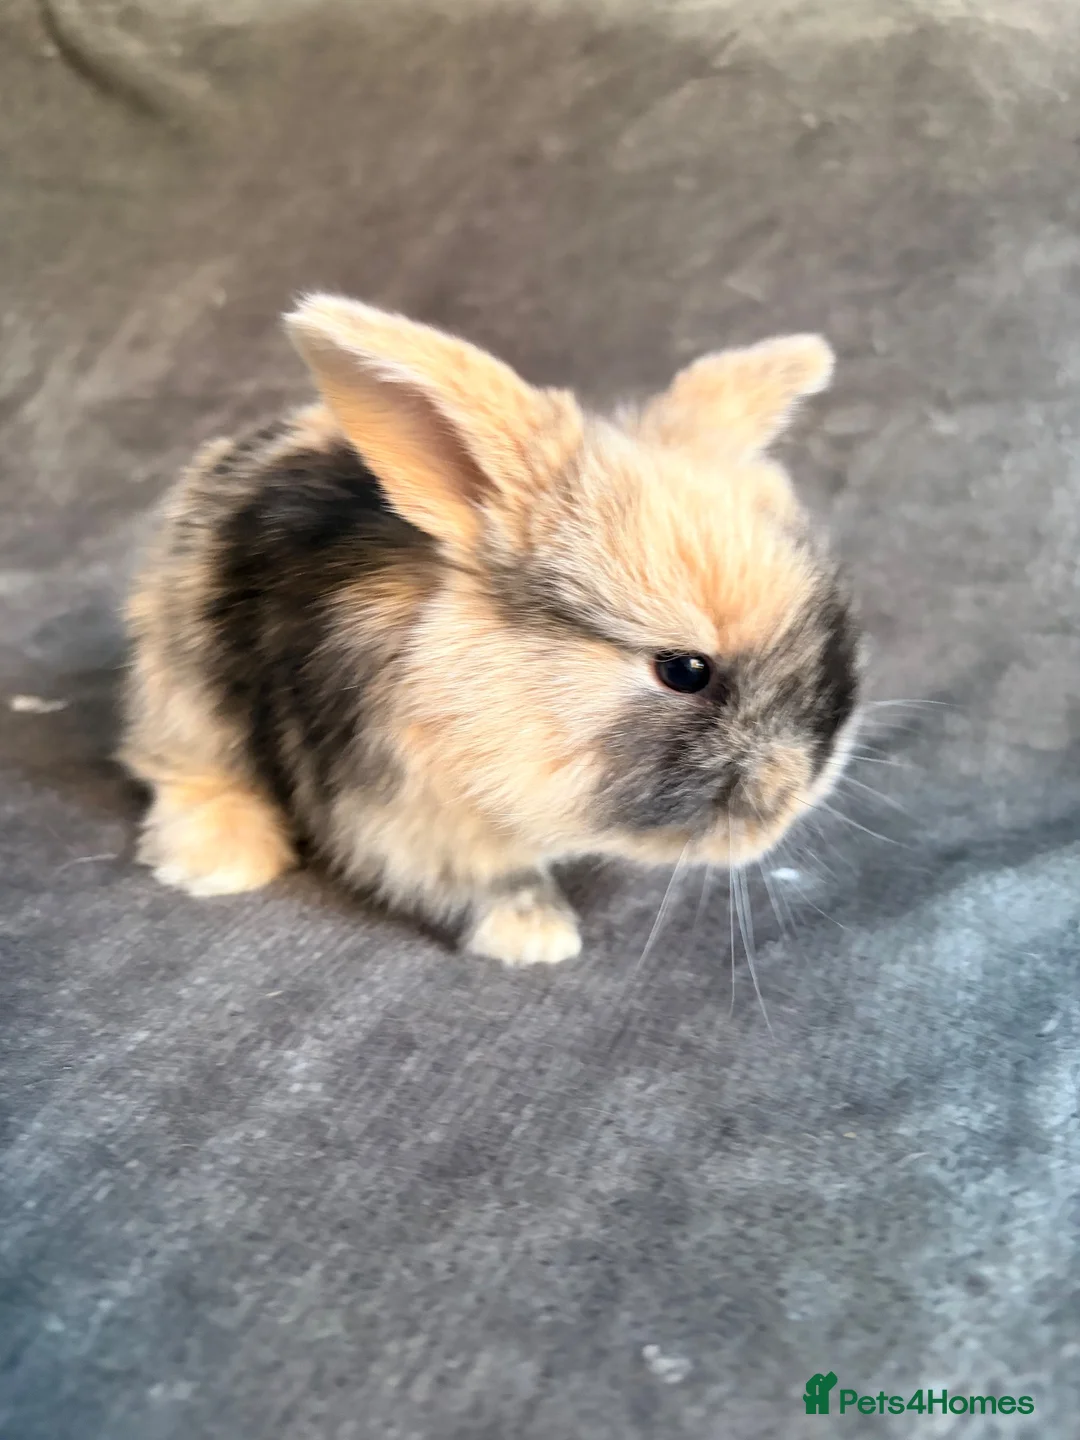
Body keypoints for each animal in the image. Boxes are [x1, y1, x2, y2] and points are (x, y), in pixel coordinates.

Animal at [120, 294, 862, 966]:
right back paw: (217, 861)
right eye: (684, 671)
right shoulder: (416, 822)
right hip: (185, 694)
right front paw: (537, 938)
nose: (794, 792)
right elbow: (492, 884)